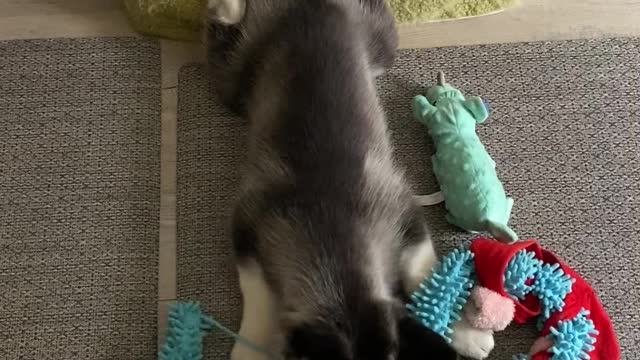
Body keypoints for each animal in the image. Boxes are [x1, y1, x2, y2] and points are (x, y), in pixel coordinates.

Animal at [205, 0, 496, 358]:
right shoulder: (246, 224)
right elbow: (258, 294)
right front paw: (252, 346)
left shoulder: (404, 211)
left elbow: (422, 268)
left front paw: (465, 330)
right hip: (232, 78)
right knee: (218, 37)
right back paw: (227, 7)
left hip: (383, 42)